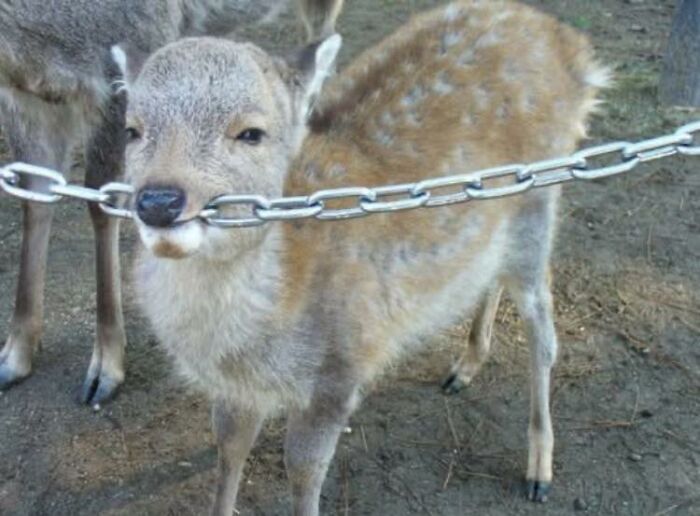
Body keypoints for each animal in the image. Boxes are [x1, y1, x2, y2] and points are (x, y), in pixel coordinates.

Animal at [0, 0, 343, 406]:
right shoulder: (25, 98)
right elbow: (35, 195)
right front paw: (14, 355)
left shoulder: (122, 60)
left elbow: (102, 203)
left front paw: (105, 368)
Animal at [122, 0, 609, 513]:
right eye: (132, 129)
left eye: (251, 132)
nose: (159, 201)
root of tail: (573, 49)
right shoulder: (234, 388)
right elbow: (229, 450)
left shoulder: (340, 370)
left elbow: (303, 471)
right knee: (493, 274)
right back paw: (465, 367)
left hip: (541, 198)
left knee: (543, 324)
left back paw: (539, 469)